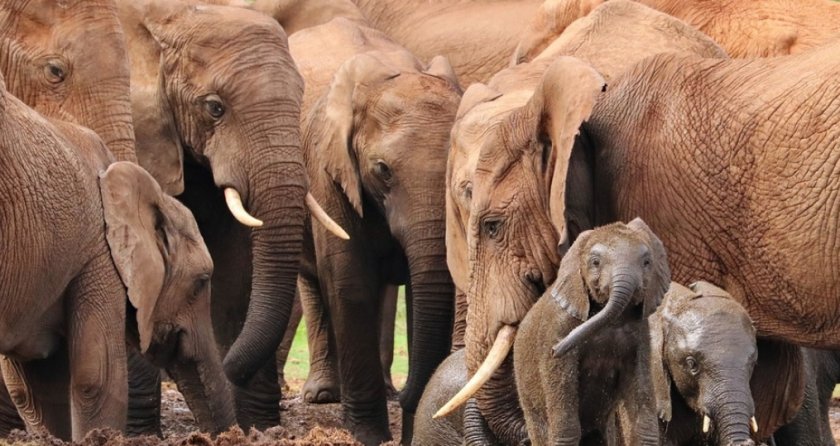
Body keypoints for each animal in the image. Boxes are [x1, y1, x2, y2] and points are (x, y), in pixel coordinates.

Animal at [288, 16, 460, 442]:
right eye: (382, 170)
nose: (407, 393)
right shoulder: (327, 170)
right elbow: (349, 282)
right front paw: (368, 436)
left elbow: (421, 291)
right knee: (314, 282)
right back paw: (323, 395)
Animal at [512, 218, 668, 444]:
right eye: (595, 262)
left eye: (647, 262)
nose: (555, 349)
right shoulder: (558, 327)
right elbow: (566, 426)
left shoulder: (641, 336)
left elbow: (643, 422)